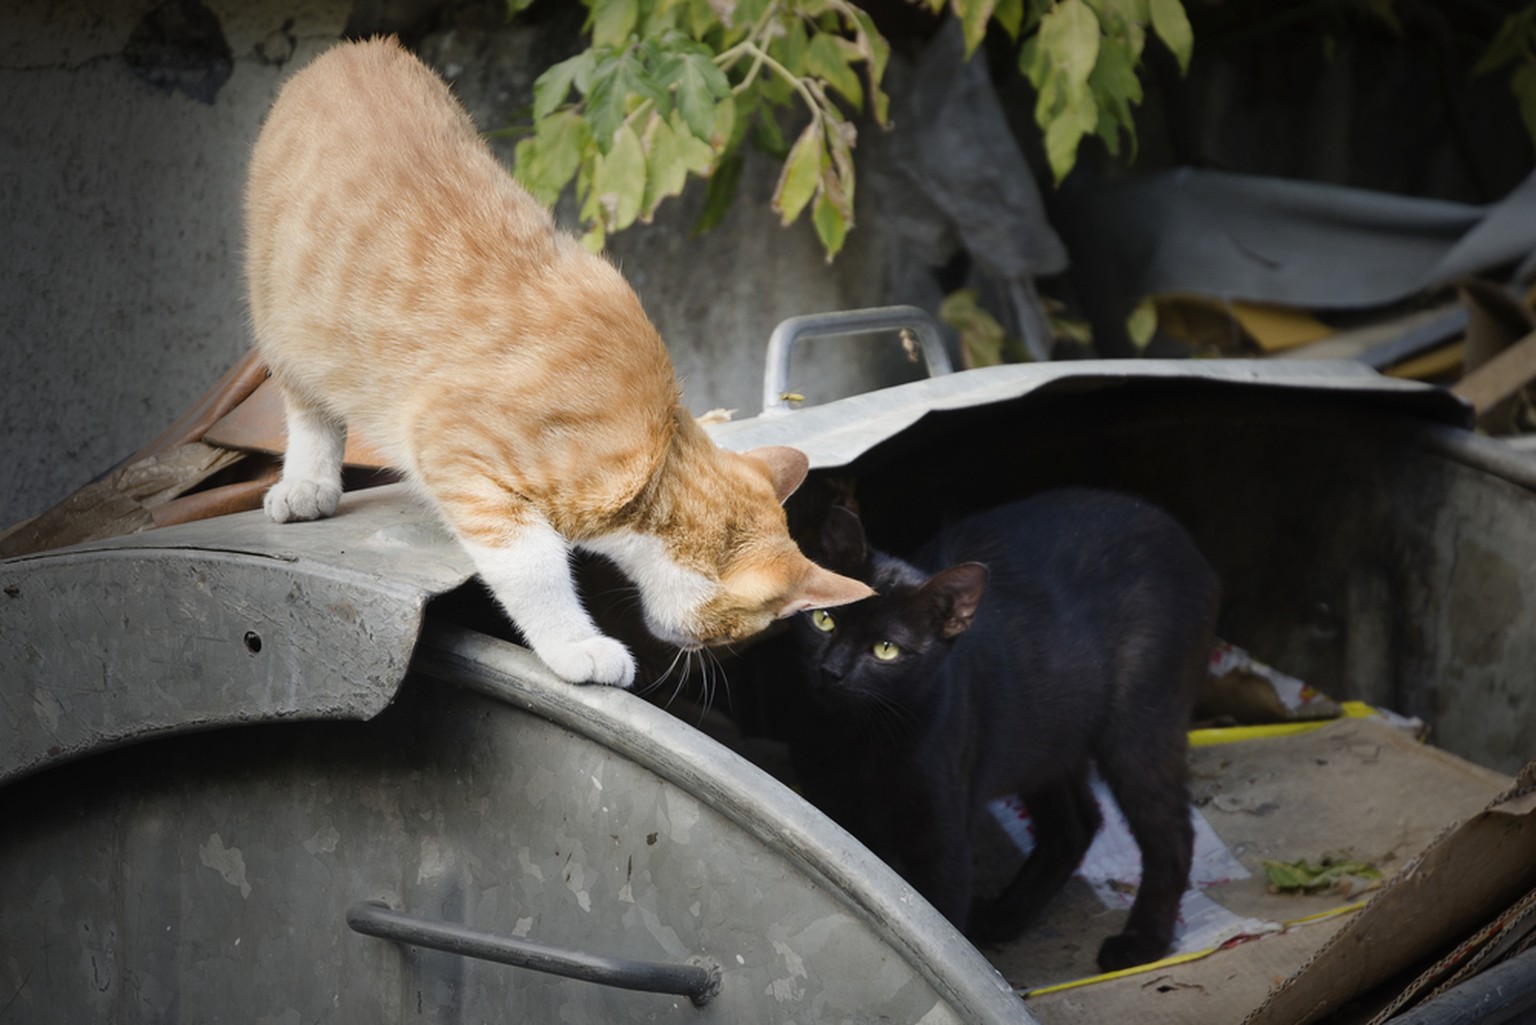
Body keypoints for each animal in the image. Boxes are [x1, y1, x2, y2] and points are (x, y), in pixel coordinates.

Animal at [243, 37, 872, 686]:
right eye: (740, 630)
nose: (708, 658)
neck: (658, 454)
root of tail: (356, 48)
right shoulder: (455, 449)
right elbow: (534, 564)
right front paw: (576, 645)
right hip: (283, 320)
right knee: (307, 407)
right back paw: (308, 483)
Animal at [786, 490, 1219, 971]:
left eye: (886, 650)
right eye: (825, 620)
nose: (832, 670)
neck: (857, 740)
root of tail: (1178, 535)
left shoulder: (945, 841)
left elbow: (940, 919)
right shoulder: (830, 808)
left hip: (1139, 726)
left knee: (1172, 832)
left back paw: (1142, 941)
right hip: (1047, 737)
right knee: (1077, 825)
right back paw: (1004, 917)